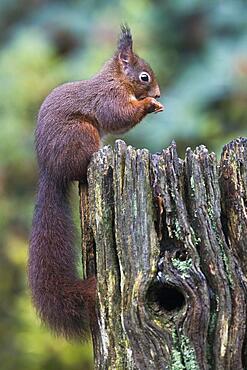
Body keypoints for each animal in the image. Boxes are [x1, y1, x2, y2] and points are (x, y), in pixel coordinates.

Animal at [28, 24, 164, 340]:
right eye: (144, 77)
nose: (158, 92)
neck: (117, 80)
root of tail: (50, 171)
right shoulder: (109, 98)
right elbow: (119, 117)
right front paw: (148, 104)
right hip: (81, 134)